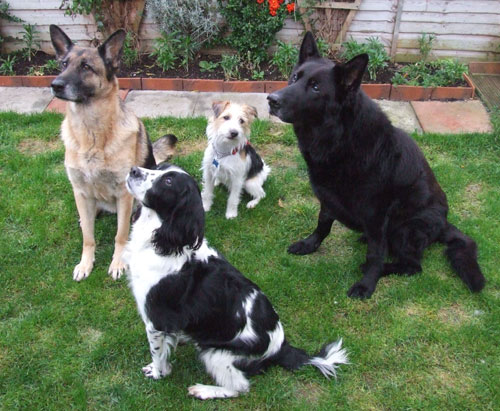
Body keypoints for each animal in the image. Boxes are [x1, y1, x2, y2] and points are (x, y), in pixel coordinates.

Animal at [49, 25, 178, 284]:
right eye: (63, 64)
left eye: (86, 67)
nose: (55, 84)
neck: (92, 134)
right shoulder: (80, 191)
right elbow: (88, 237)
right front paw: (85, 263)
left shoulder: (123, 193)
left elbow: (120, 234)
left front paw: (118, 263)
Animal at [268, 32, 486, 300]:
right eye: (294, 77)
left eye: (316, 87)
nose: (271, 100)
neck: (340, 139)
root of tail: (444, 224)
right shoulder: (328, 199)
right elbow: (322, 225)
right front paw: (309, 244)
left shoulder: (376, 214)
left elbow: (375, 255)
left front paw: (366, 284)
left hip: (406, 229)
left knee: (412, 266)